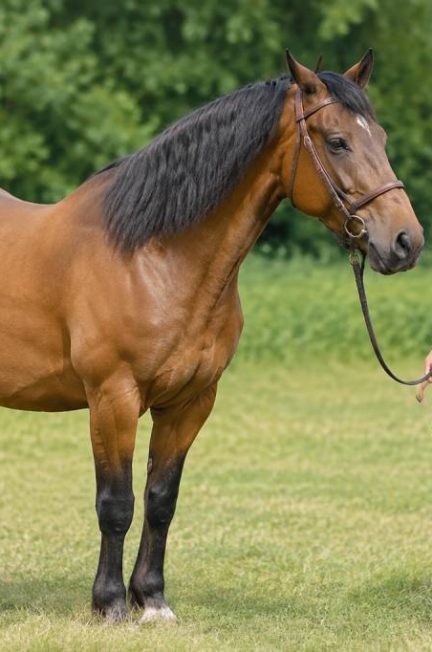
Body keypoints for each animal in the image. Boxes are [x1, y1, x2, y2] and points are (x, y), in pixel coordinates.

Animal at [0, 50, 425, 623]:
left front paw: (152, 601)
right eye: (337, 141)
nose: (405, 241)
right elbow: (116, 504)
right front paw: (109, 605)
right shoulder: (112, 398)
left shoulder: (191, 401)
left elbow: (161, 499)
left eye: (380, 137)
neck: (152, 256)